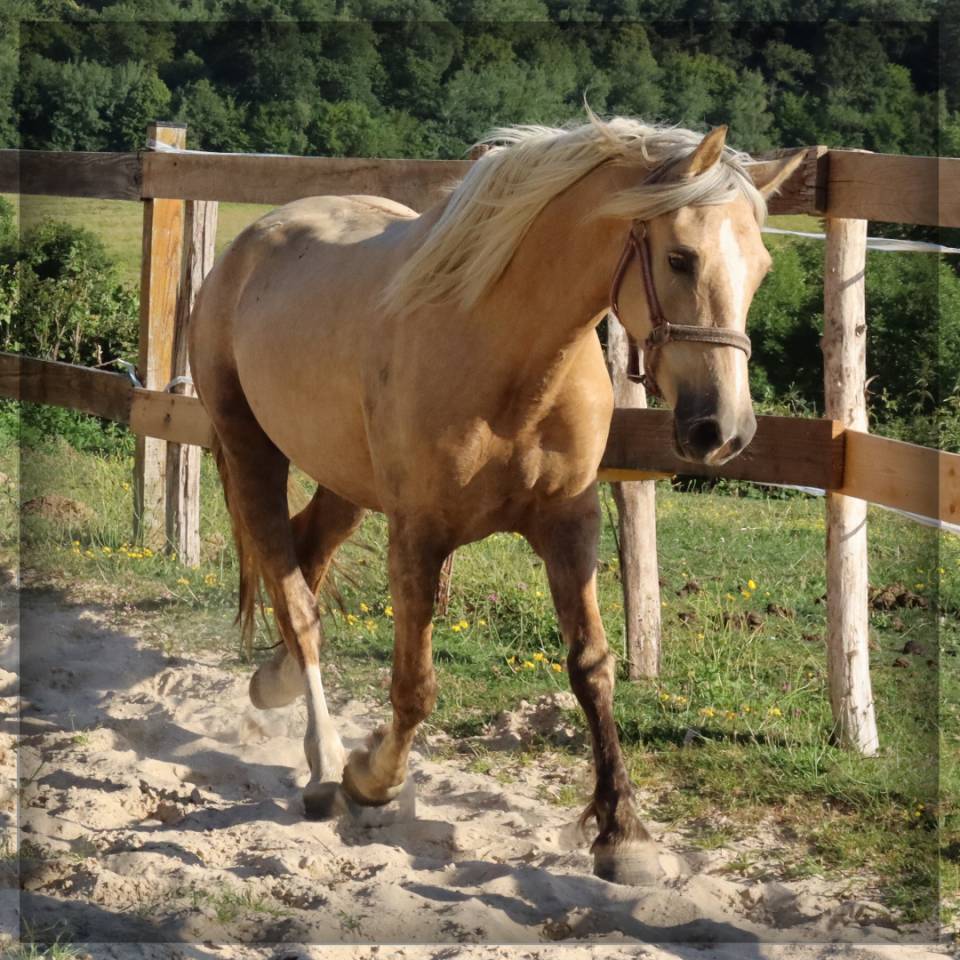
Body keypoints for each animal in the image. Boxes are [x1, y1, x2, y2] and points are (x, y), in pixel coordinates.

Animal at [188, 116, 803, 886]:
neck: (507, 359)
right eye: (681, 258)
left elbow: (593, 668)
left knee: (304, 554)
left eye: (762, 269)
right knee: (297, 598)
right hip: (251, 451)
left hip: (346, 479)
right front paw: (372, 781)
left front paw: (623, 835)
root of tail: (256, 237)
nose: (722, 431)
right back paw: (325, 763)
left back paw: (273, 684)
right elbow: (416, 686)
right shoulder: (417, 536)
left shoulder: (570, 525)